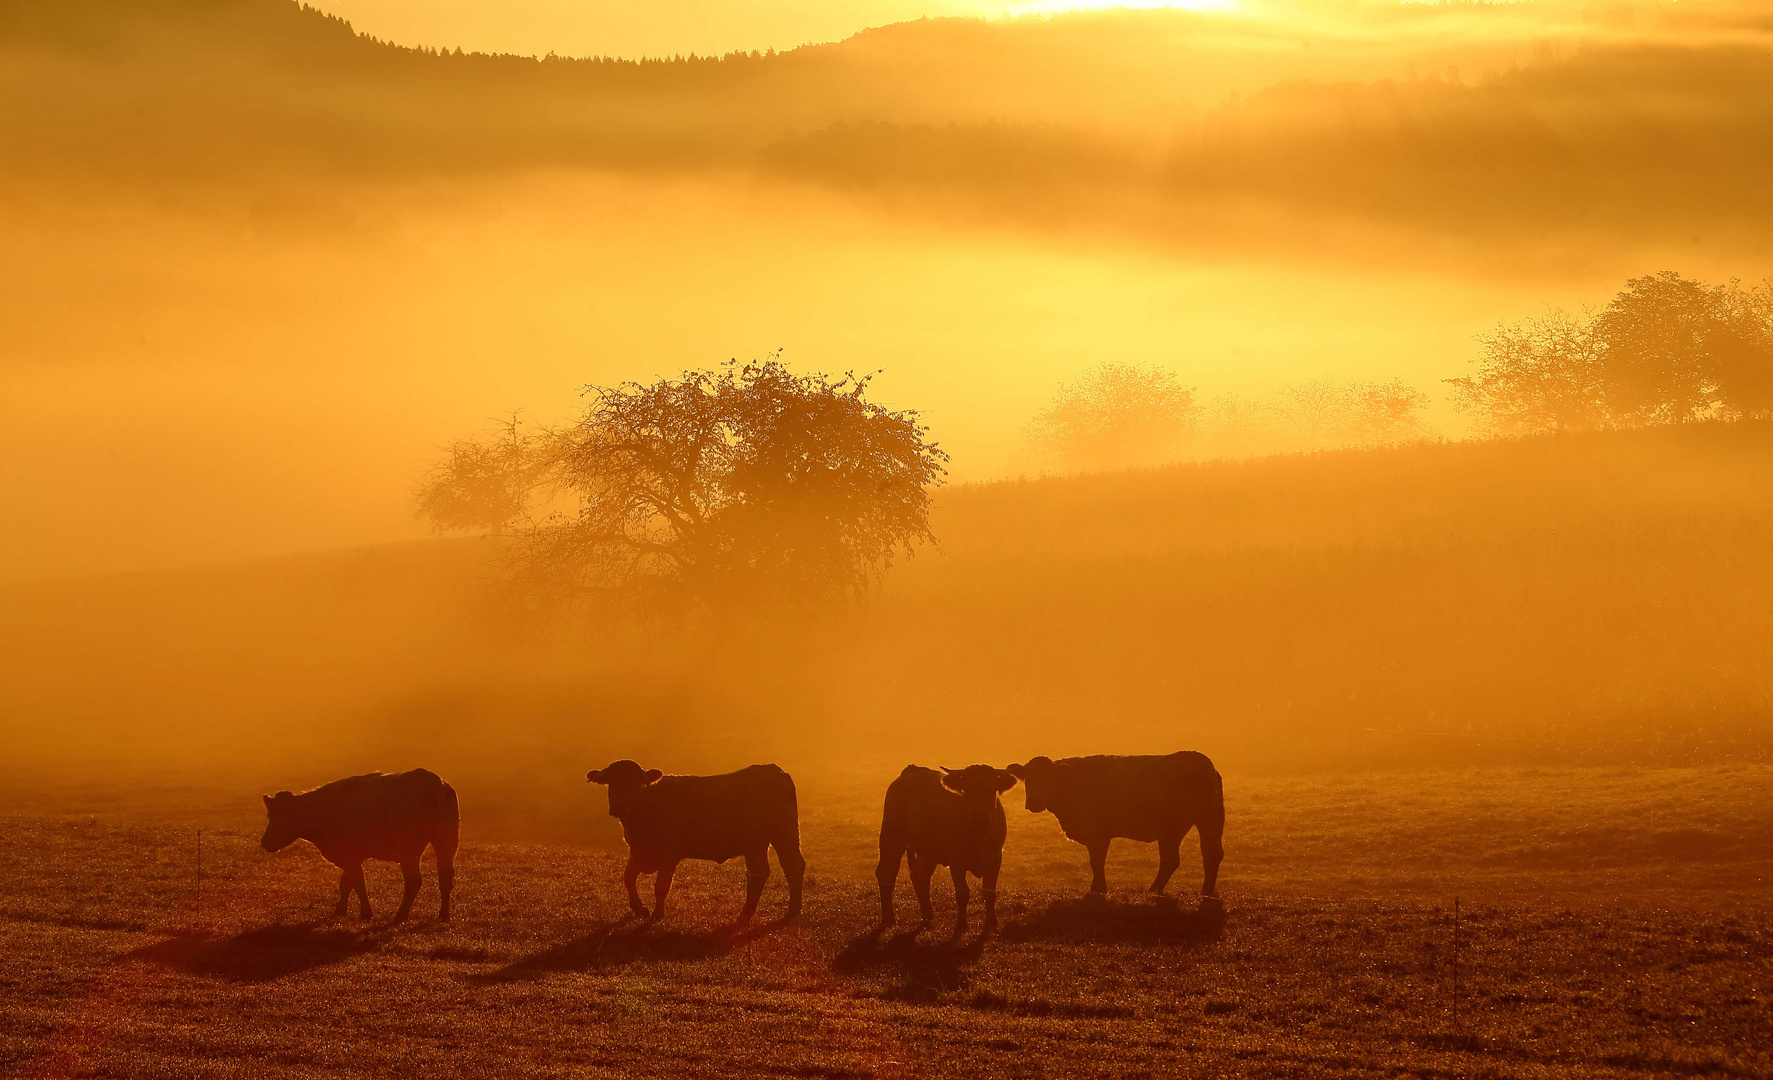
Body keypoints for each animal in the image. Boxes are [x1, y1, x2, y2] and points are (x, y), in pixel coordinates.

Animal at [260, 766, 460, 915]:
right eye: (269, 815)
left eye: (275, 816)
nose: (264, 841)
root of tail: (434, 781)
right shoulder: (351, 858)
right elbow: (347, 884)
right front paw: (340, 911)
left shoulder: (348, 856)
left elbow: (357, 883)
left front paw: (365, 913)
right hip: (447, 840)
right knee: (445, 876)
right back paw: (443, 915)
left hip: (409, 850)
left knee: (414, 881)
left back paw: (400, 916)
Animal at [585, 759, 808, 929]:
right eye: (611, 782)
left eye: (638, 784)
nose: (619, 807)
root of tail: (773, 769)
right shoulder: (637, 852)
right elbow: (628, 878)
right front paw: (639, 909)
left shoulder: (670, 854)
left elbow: (661, 887)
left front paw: (657, 914)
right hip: (757, 844)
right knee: (762, 873)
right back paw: (757, 916)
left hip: (784, 835)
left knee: (790, 868)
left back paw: (782, 912)